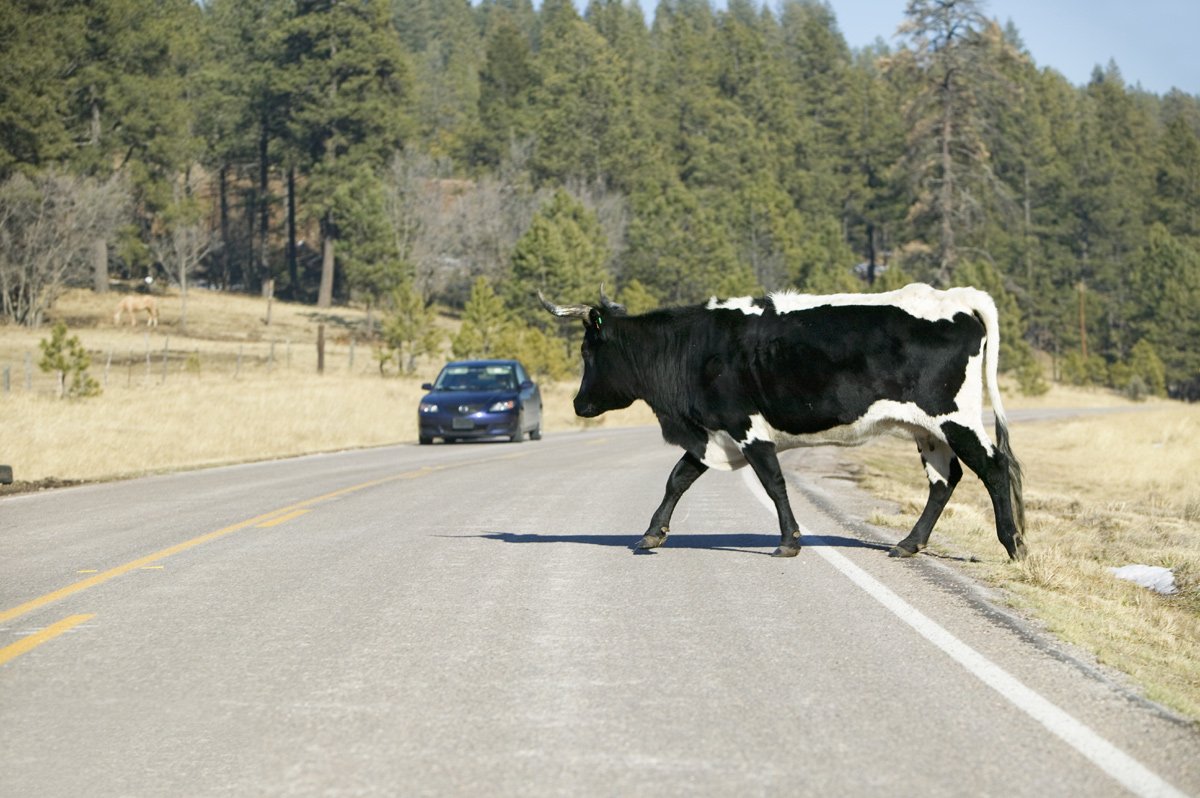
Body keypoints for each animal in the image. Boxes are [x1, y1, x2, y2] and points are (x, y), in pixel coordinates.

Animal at [540, 282, 1027, 559]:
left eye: (587, 351)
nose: (578, 405)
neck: (692, 348)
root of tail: (955, 296)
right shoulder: (714, 432)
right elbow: (678, 478)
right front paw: (651, 534)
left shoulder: (746, 427)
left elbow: (773, 482)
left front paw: (790, 540)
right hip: (928, 429)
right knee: (945, 480)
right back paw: (909, 544)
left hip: (954, 417)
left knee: (993, 467)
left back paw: (1014, 545)